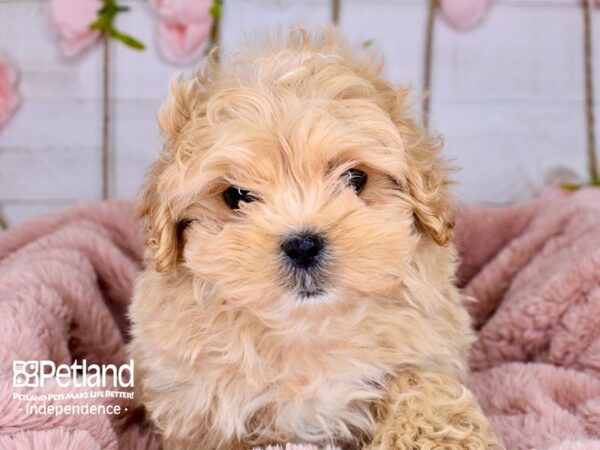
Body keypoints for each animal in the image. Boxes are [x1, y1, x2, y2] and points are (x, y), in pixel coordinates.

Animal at [130, 29, 502, 450]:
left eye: (355, 178)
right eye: (236, 196)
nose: (303, 245)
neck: (308, 328)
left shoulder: (428, 347)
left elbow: (420, 383)